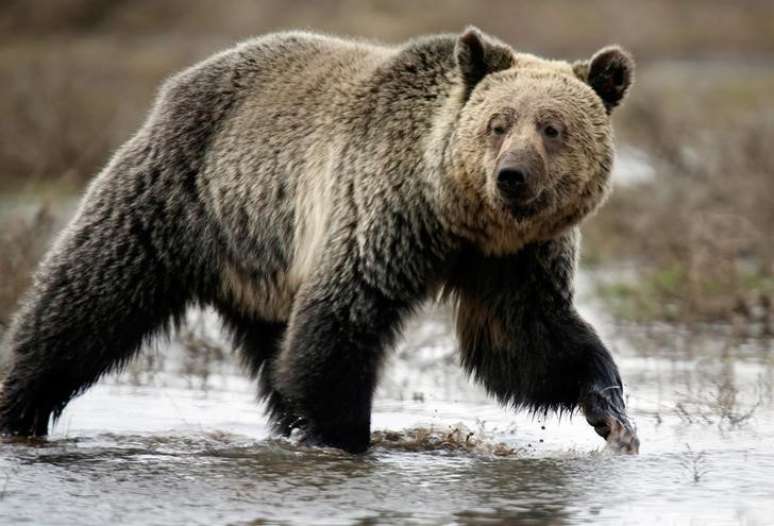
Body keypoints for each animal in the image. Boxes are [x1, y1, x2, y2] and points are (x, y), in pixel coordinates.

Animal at [0, 27, 640, 454]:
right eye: (498, 123)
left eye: (552, 128)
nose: (512, 176)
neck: (458, 216)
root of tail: (180, 82)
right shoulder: (383, 213)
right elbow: (341, 322)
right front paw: (344, 437)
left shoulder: (513, 260)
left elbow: (525, 342)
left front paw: (612, 411)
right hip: (178, 198)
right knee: (87, 301)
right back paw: (18, 407)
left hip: (261, 260)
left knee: (273, 353)